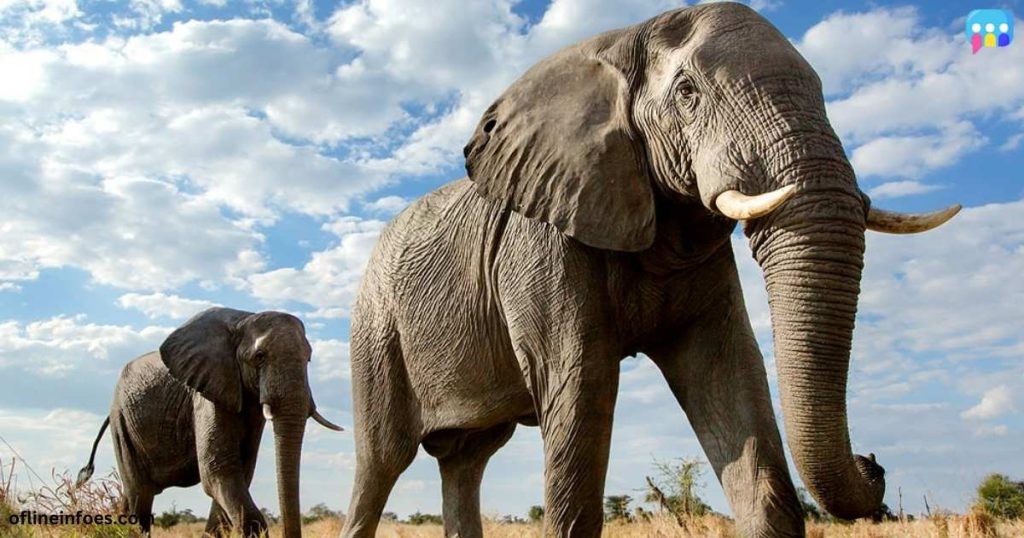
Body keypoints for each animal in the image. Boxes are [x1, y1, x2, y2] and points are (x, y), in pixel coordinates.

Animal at [76, 307, 343, 537]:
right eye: (259, 357)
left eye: (309, 359)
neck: (244, 320)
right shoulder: (206, 392)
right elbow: (219, 469)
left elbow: (240, 471)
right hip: (123, 421)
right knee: (139, 494)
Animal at [341, 3, 960, 538]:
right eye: (688, 94)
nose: (874, 461)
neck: (619, 43)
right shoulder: (544, 241)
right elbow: (581, 382)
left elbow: (726, 371)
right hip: (375, 331)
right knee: (382, 461)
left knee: (467, 460)